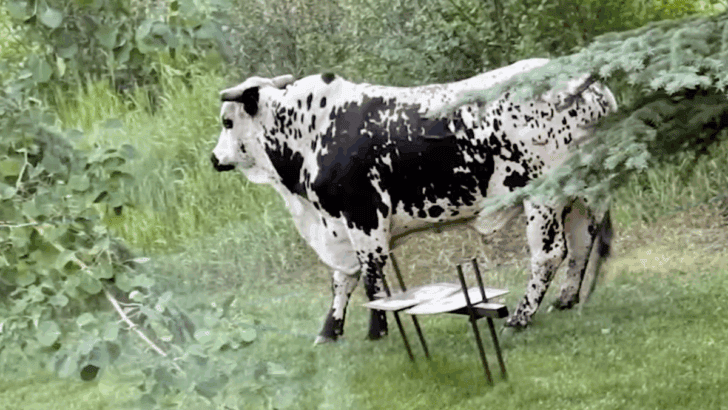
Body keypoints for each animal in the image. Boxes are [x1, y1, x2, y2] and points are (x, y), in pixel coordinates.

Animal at [210, 58, 617, 344]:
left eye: (227, 121)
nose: (214, 158)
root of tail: (589, 83)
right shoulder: (339, 226)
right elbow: (342, 279)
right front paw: (329, 330)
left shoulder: (363, 218)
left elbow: (371, 277)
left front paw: (377, 330)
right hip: (584, 192)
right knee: (582, 241)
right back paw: (566, 299)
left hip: (544, 196)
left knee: (548, 255)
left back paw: (520, 318)